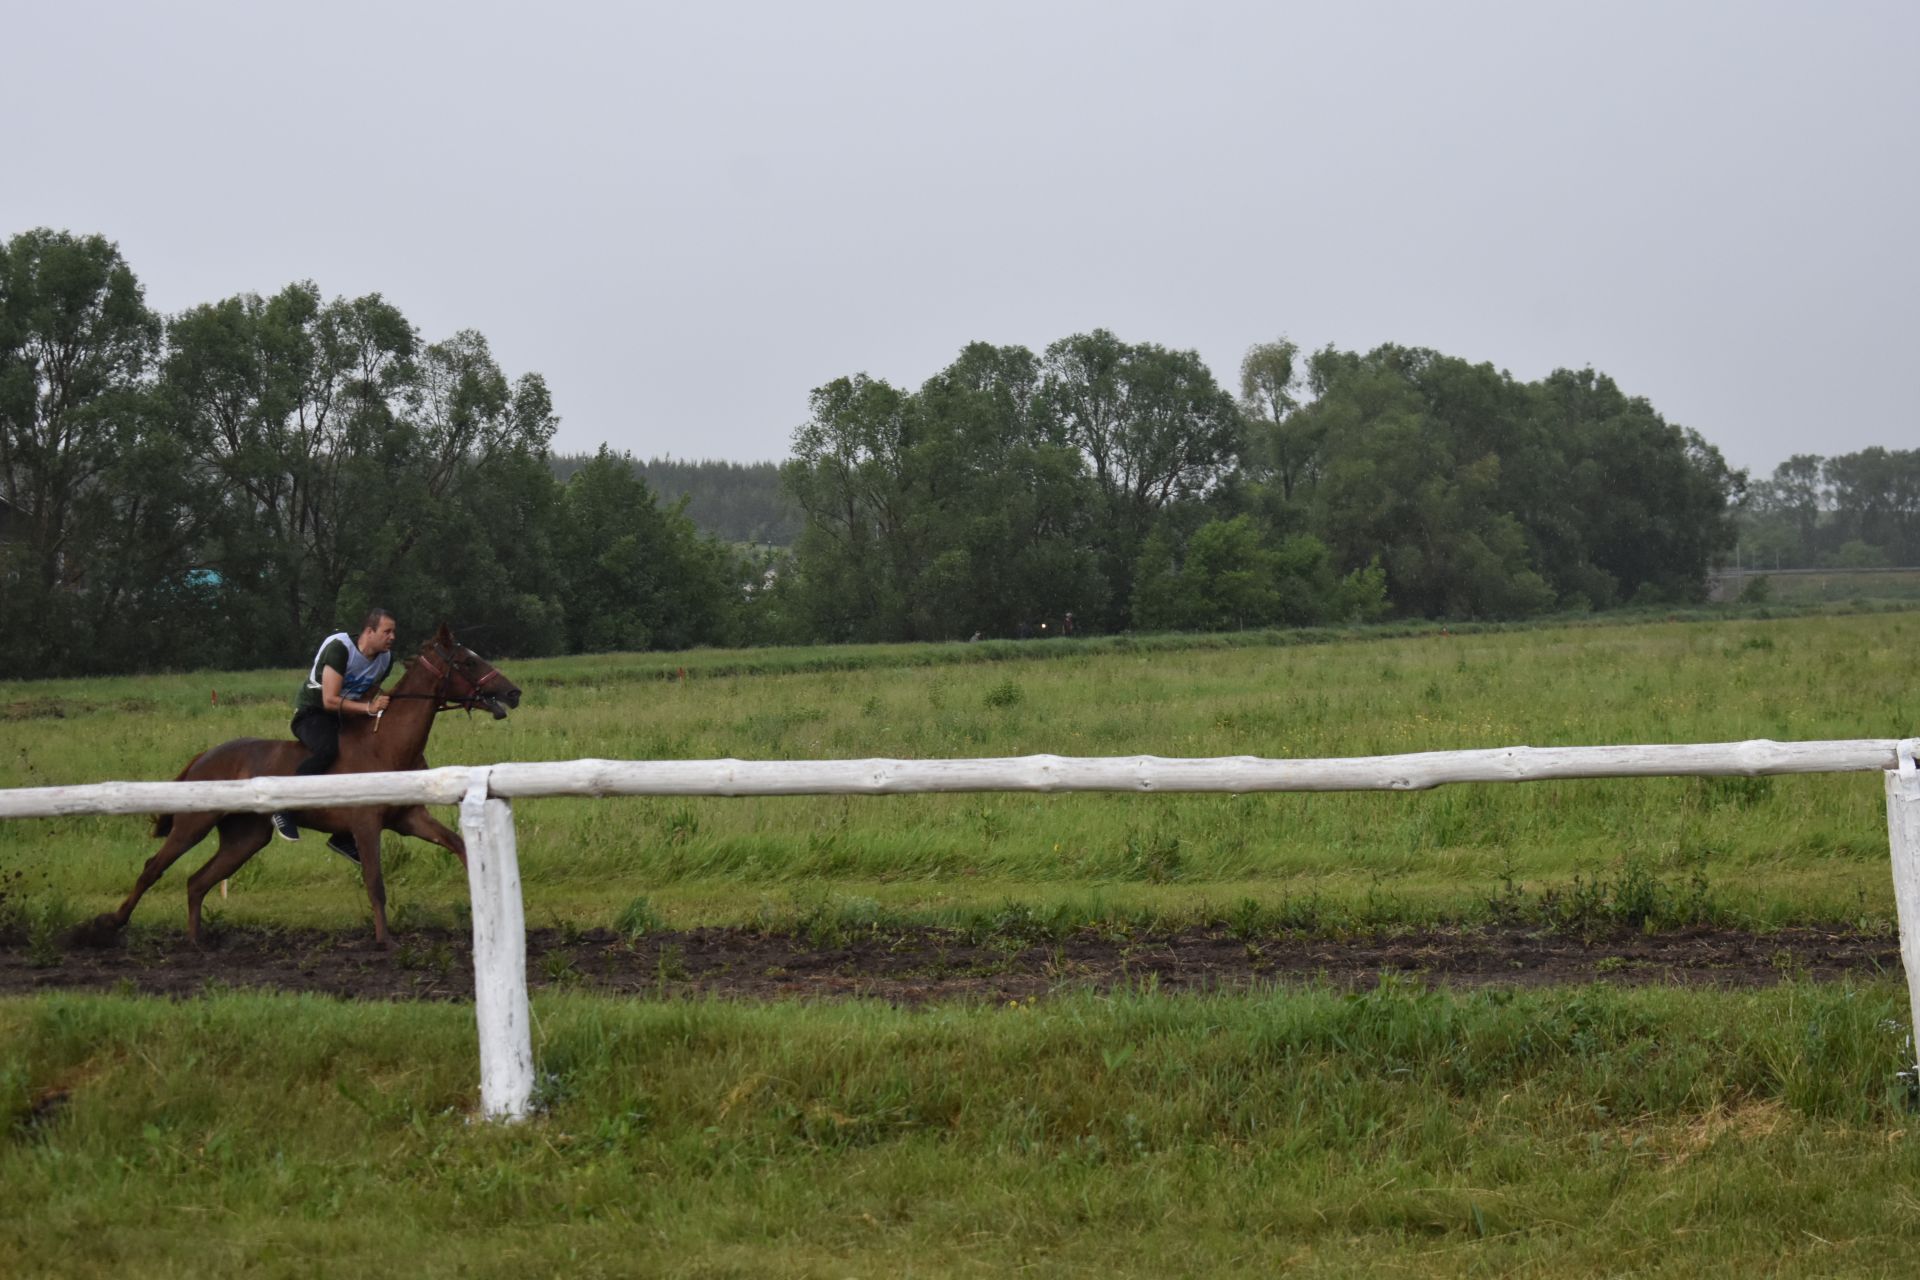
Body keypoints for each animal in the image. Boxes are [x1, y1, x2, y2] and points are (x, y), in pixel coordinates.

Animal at [81, 621, 522, 951]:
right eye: (467, 660)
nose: (513, 692)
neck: (387, 744)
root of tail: (204, 757)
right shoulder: (365, 825)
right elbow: (375, 883)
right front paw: (384, 941)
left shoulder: (409, 818)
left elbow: (458, 845)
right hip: (194, 825)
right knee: (153, 868)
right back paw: (107, 927)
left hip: (245, 837)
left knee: (197, 882)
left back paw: (196, 943)